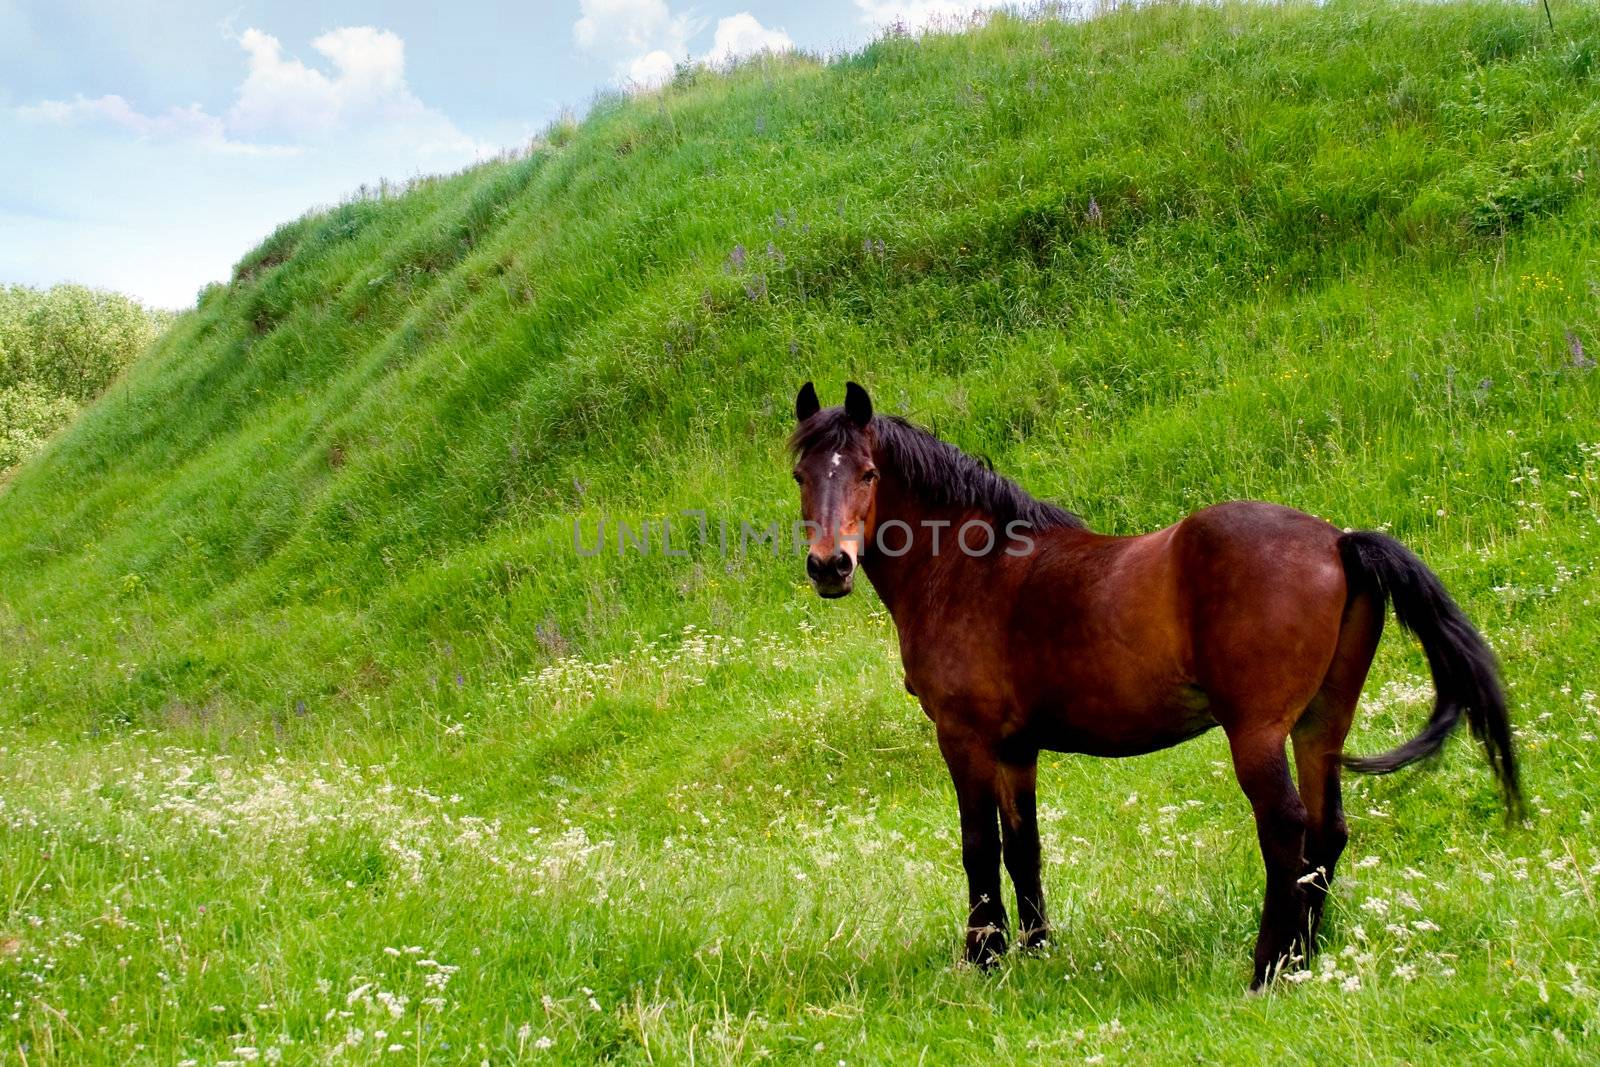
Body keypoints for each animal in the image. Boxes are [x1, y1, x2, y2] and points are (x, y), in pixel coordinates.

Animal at [793, 379, 1516, 991]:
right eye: (801, 474)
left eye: (868, 473)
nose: (830, 566)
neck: (974, 566)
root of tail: (1338, 542)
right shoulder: (1017, 749)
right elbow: (1023, 845)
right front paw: (1035, 949)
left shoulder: (964, 738)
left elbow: (979, 847)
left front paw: (983, 957)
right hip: (1320, 725)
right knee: (1326, 831)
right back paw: (1303, 959)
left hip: (1258, 734)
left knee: (1286, 830)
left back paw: (1266, 968)